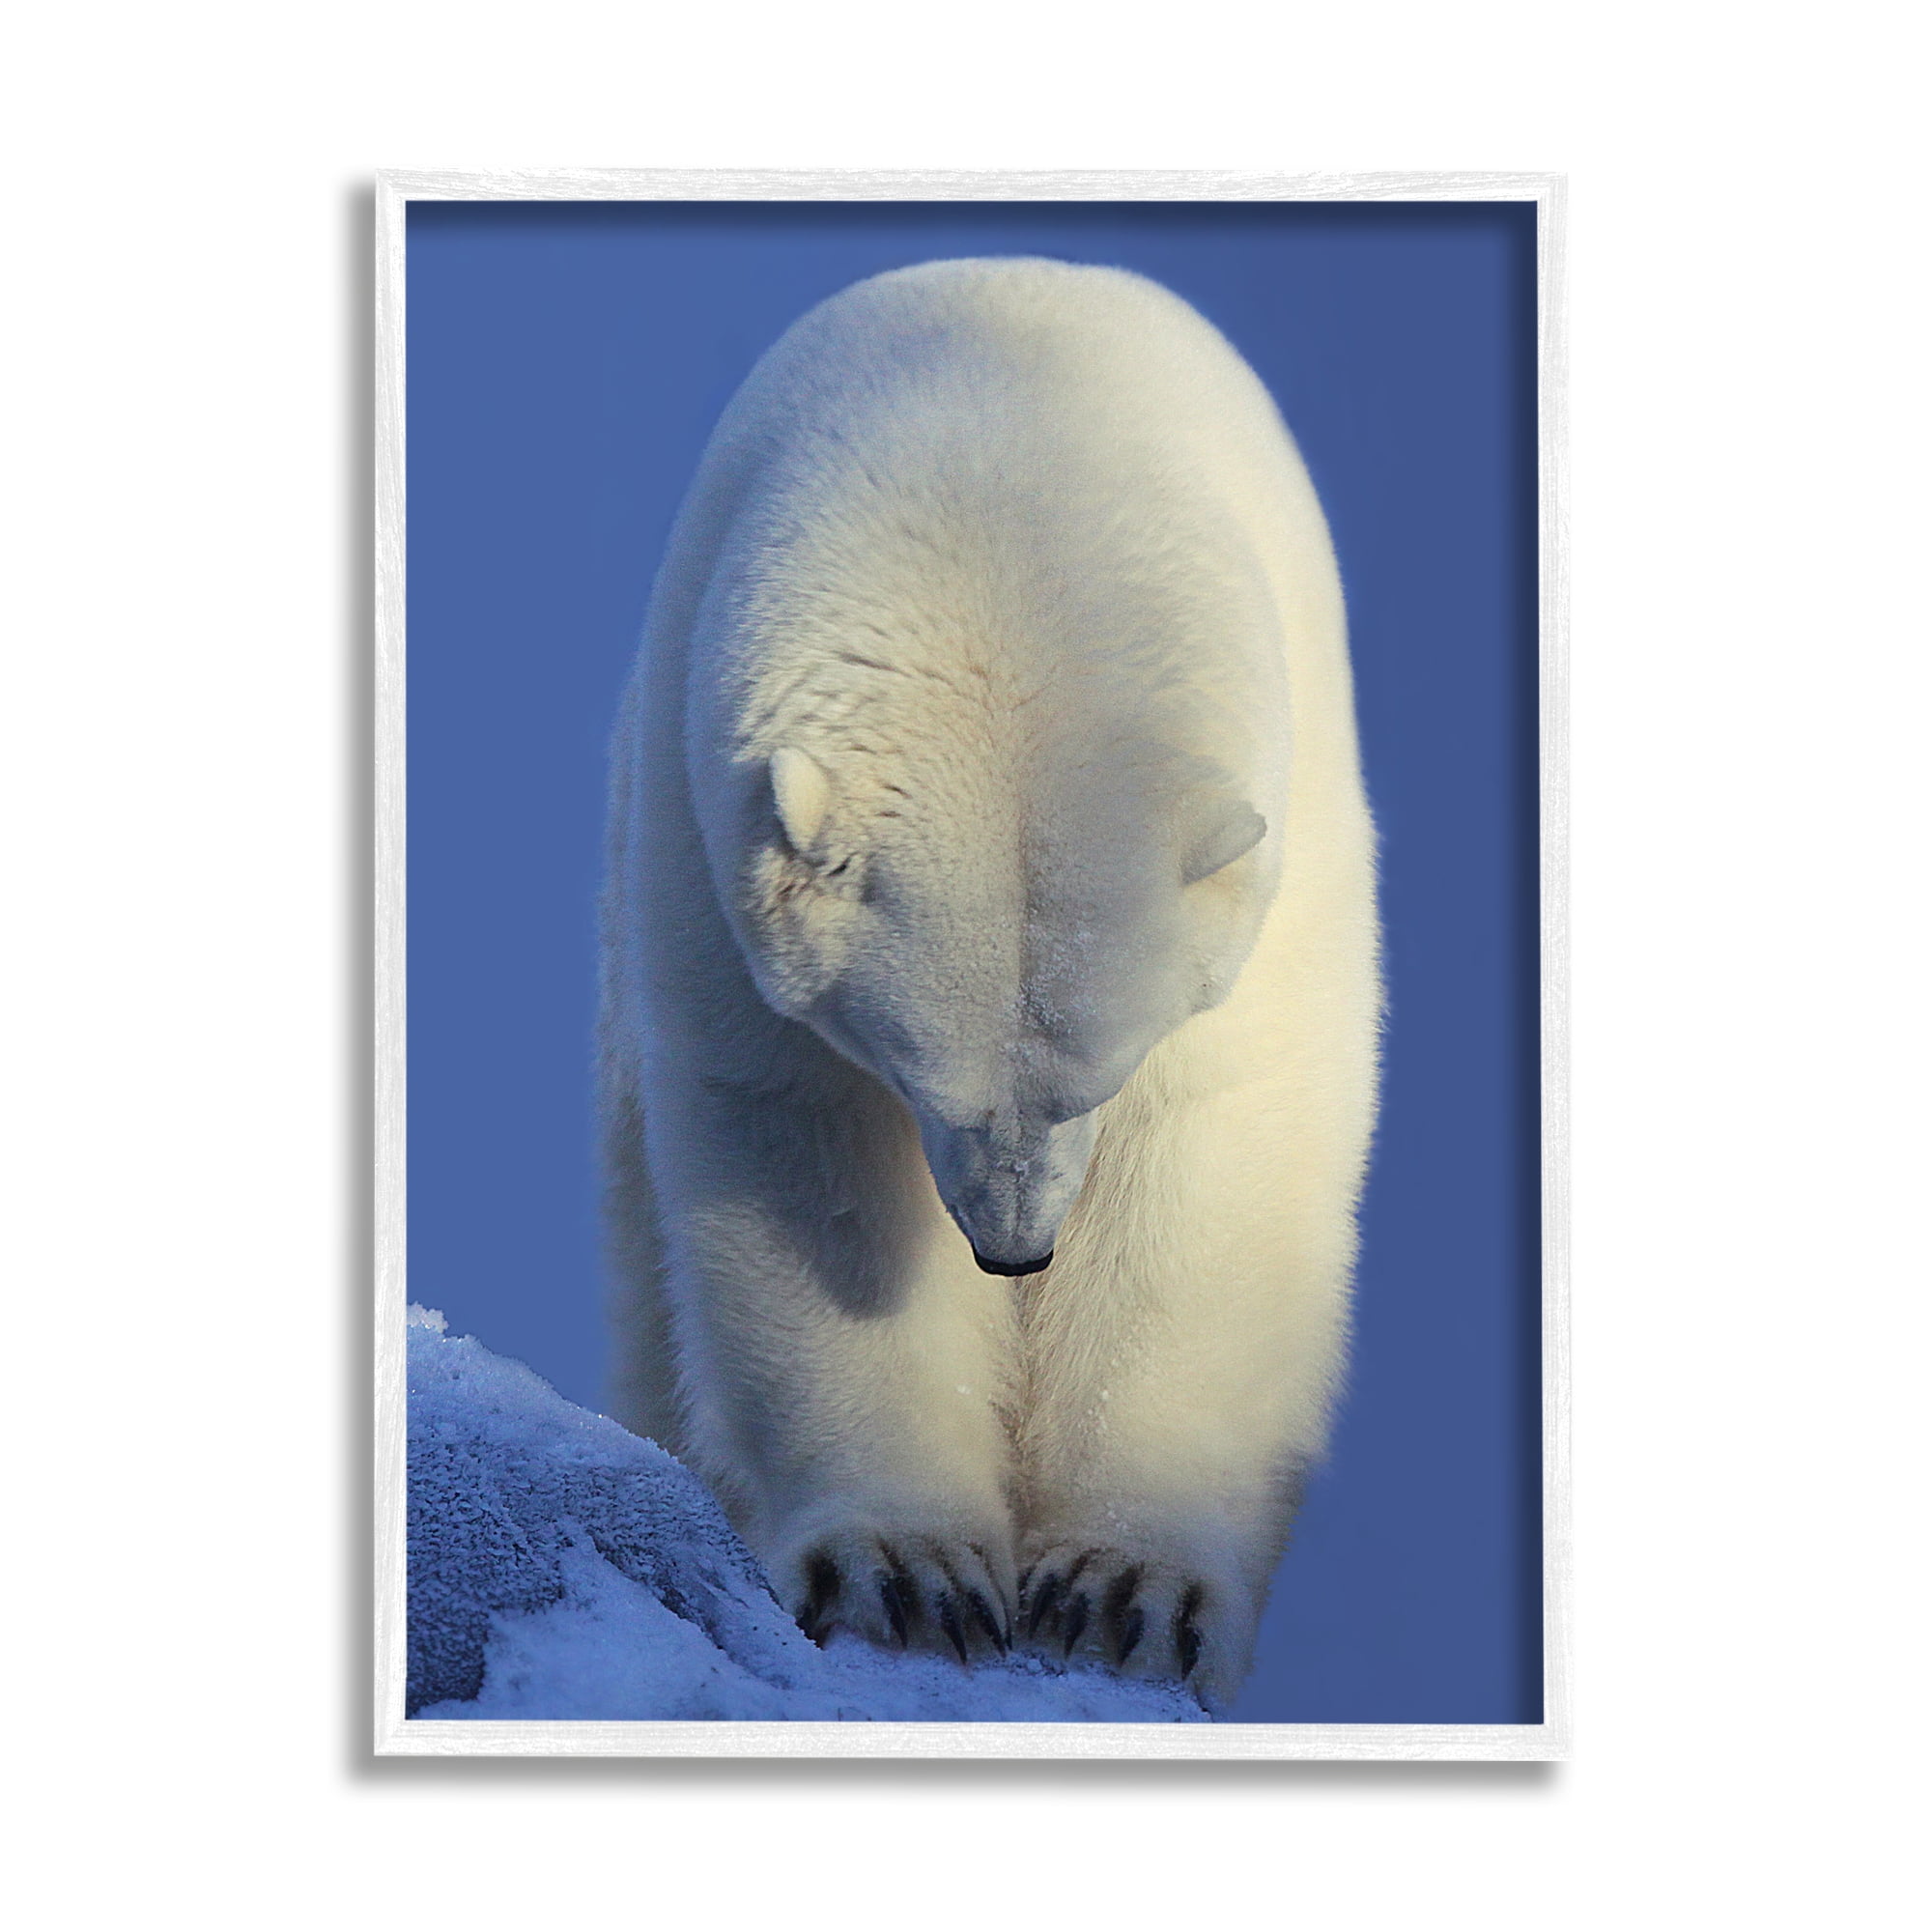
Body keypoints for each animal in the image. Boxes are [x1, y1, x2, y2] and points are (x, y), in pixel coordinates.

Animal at [599, 257, 1380, 1708]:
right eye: (921, 1075)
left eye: (1096, 1076)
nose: (1015, 1251)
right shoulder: (702, 843)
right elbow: (803, 1160)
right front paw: (904, 1577)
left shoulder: (1279, 852)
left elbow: (1216, 1156)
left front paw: (1126, 1595)